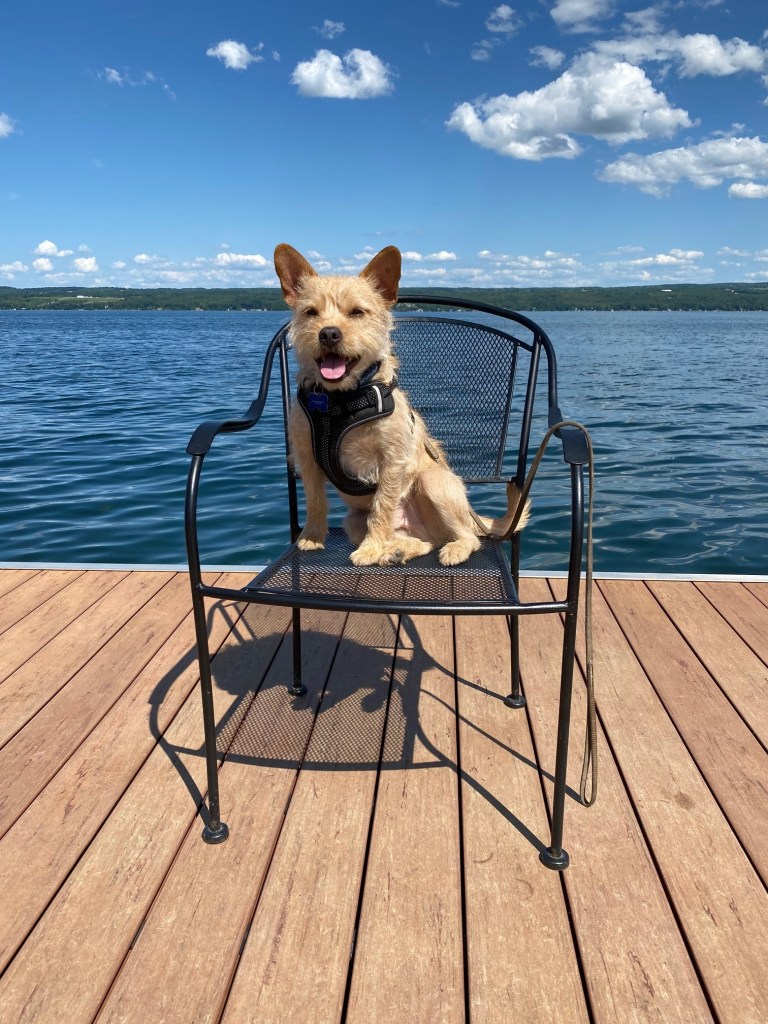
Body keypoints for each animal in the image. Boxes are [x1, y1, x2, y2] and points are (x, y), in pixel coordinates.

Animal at [274, 243, 529, 567]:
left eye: (357, 312)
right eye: (310, 312)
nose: (329, 333)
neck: (341, 400)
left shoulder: (392, 461)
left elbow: (381, 508)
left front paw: (370, 549)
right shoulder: (306, 457)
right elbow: (315, 501)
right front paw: (312, 537)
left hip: (433, 483)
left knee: (468, 537)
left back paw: (450, 548)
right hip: (353, 521)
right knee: (422, 541)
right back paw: (396, 550)